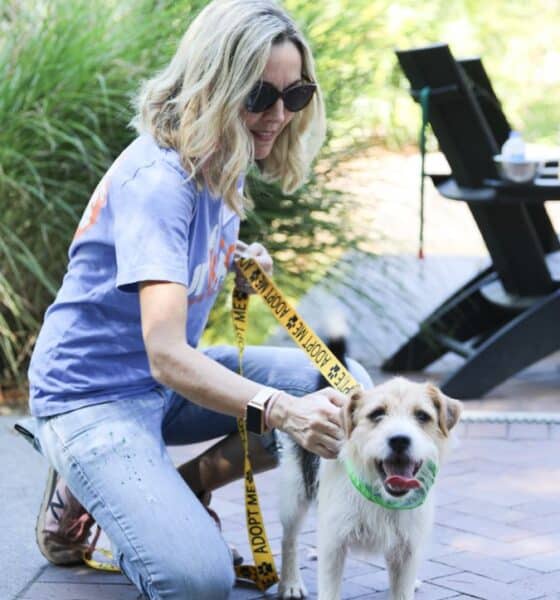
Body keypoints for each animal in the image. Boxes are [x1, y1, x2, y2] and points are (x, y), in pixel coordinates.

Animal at [276, 380, 464, 600]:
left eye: (422, 416)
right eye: (377, 414)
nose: (399, 440)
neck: (381, 495)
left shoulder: (407, 548)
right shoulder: (334, 545)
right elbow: (329, 589)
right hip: (293, 498)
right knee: (288, 539)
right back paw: (291, 583)